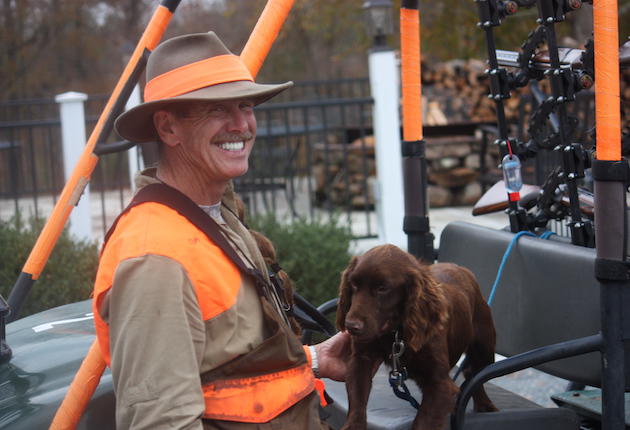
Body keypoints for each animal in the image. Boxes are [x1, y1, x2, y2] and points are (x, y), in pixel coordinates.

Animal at [338, 245, 496, 430]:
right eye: (354, 284)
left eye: (382, 288)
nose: (351, 326)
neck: (395, 333)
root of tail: (460, 268)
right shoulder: (360, 360)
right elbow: (357, 403)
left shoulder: (440, 384)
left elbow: (424, 421)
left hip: (485, 348)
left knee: (475, 371)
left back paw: (485, 404)